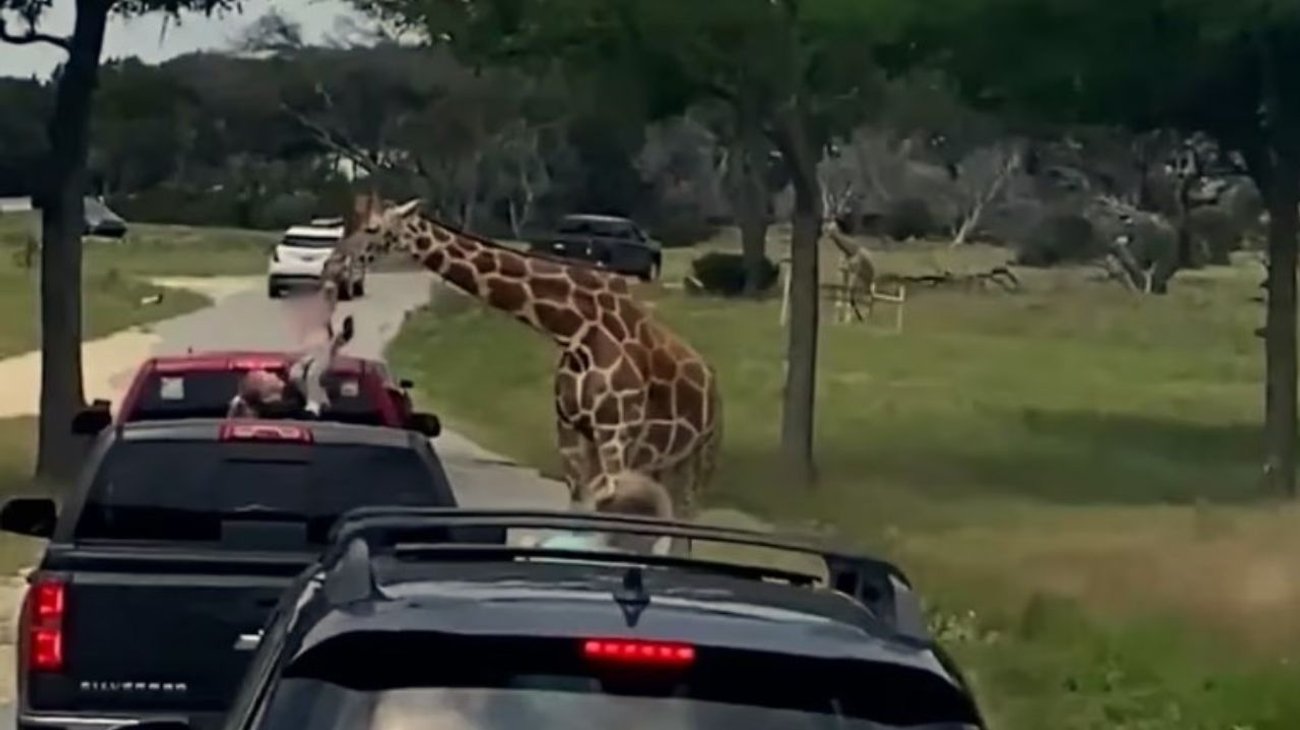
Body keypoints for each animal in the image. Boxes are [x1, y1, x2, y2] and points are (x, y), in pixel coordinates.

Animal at [338, 194, 722, 527]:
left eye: (373, 228)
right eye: (351, 223)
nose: (339, 261)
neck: (575, 328)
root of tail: (712, 383)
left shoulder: (616, 433)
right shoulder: (571, 431)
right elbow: (578, 508)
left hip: (698, 458)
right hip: (661, 462)